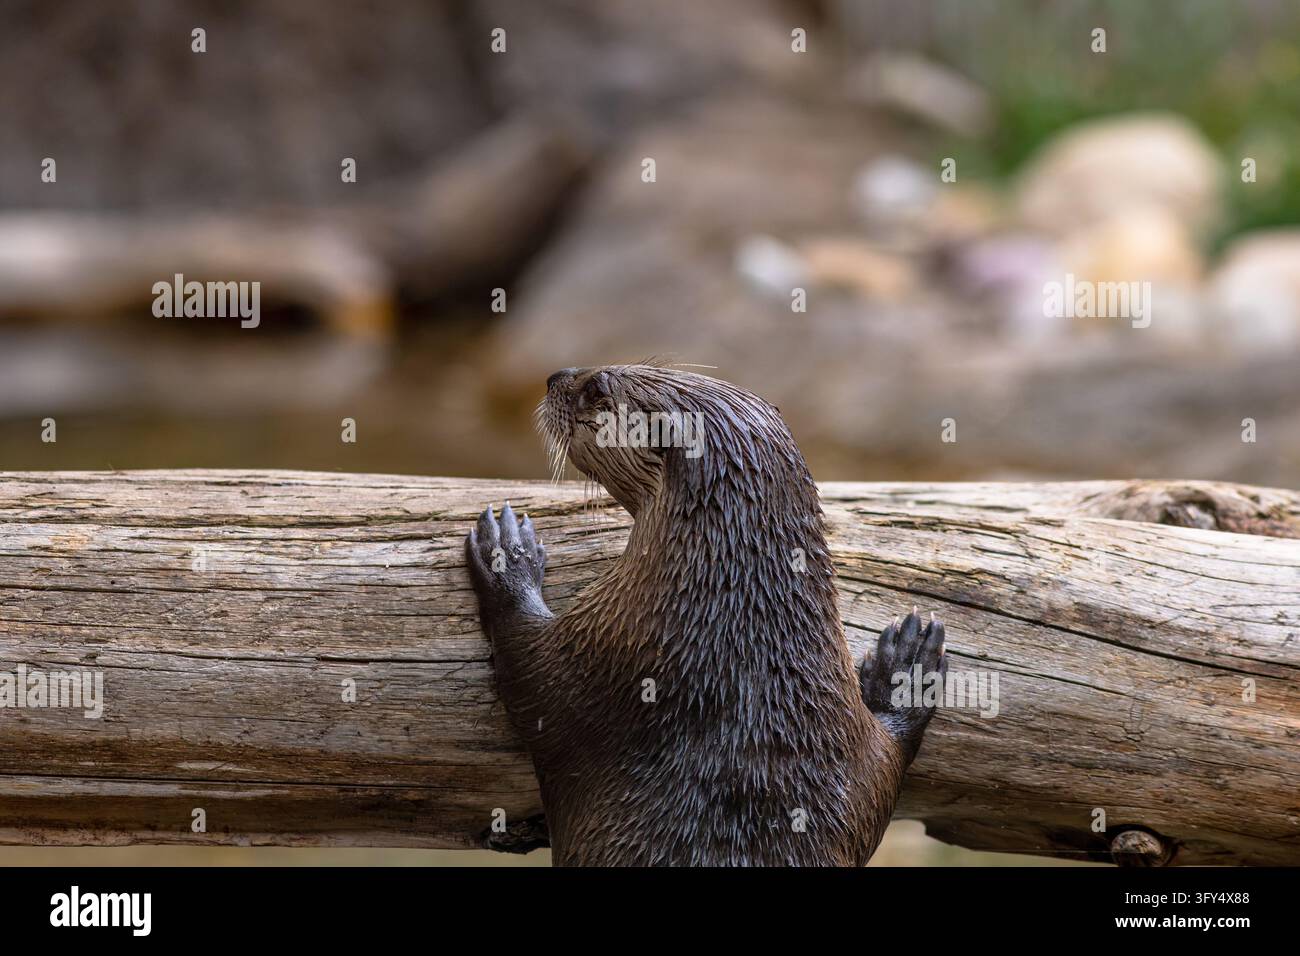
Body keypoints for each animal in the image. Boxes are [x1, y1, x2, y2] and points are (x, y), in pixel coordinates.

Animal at [465, 364, 945, 866]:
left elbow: (528, 671)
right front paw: (906, 670)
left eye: (596, 389)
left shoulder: (599, 662)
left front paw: (508, 552)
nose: (555, 376)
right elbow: (883, 773)